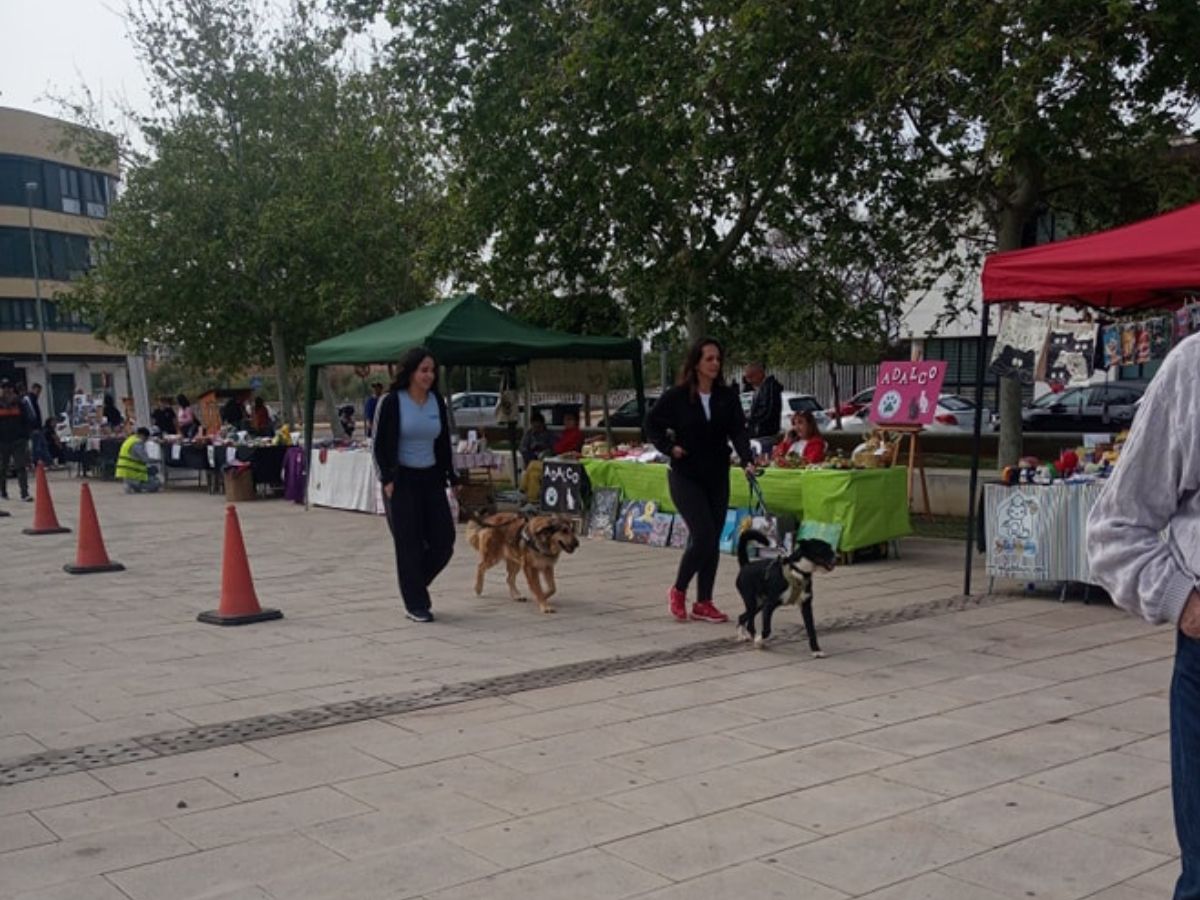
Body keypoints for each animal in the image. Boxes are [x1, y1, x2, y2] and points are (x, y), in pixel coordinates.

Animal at [729, 528, 835, 657]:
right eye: (823, 548)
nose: (838, 557)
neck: (798, 571)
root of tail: (746, 565)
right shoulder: (769, 605)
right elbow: (767, 630)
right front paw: (759, 640)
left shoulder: (806, 605)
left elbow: (811, 630)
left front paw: (816, 650)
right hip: (752, 602)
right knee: (749, 621)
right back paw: (752, 639)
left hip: (759, 604)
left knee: (742, 617)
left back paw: (744, 636)